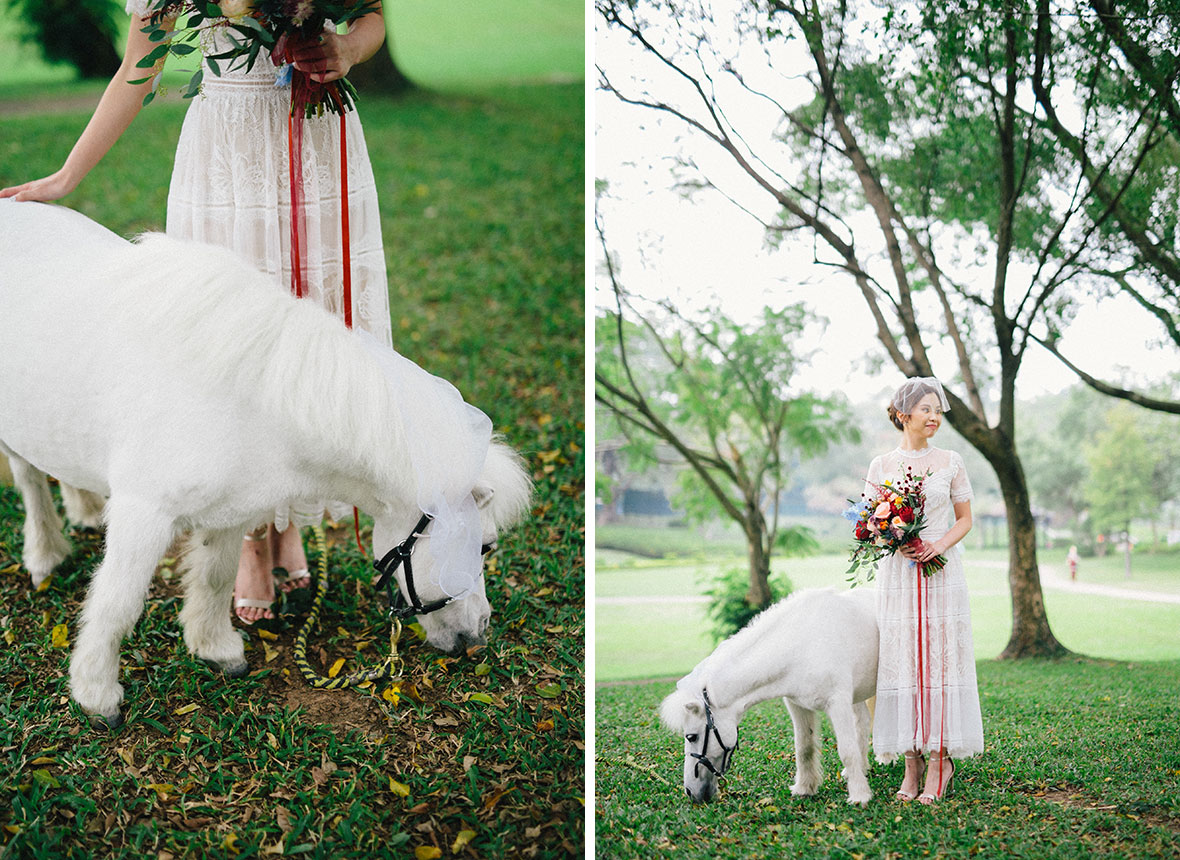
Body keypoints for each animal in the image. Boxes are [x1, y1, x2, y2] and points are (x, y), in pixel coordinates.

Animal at [0, 199, 531, 726]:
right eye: (486, 546)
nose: (478, 633)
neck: (251, 397)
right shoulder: (143, 514)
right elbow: (117, 603)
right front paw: (97, 695)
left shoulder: (228, 513)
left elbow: (215, 578)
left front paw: (214, 648)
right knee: (30, 480)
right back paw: (45, 555)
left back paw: (84, 510)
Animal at [665, 582, 877, 806]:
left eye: (691, 736)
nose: (690, 792)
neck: (802, 646)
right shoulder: (798, 706)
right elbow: (804, 748)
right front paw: (805, 788)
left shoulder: (838, 704)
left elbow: (847, 751)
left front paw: (859, 796)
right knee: (862, 722)